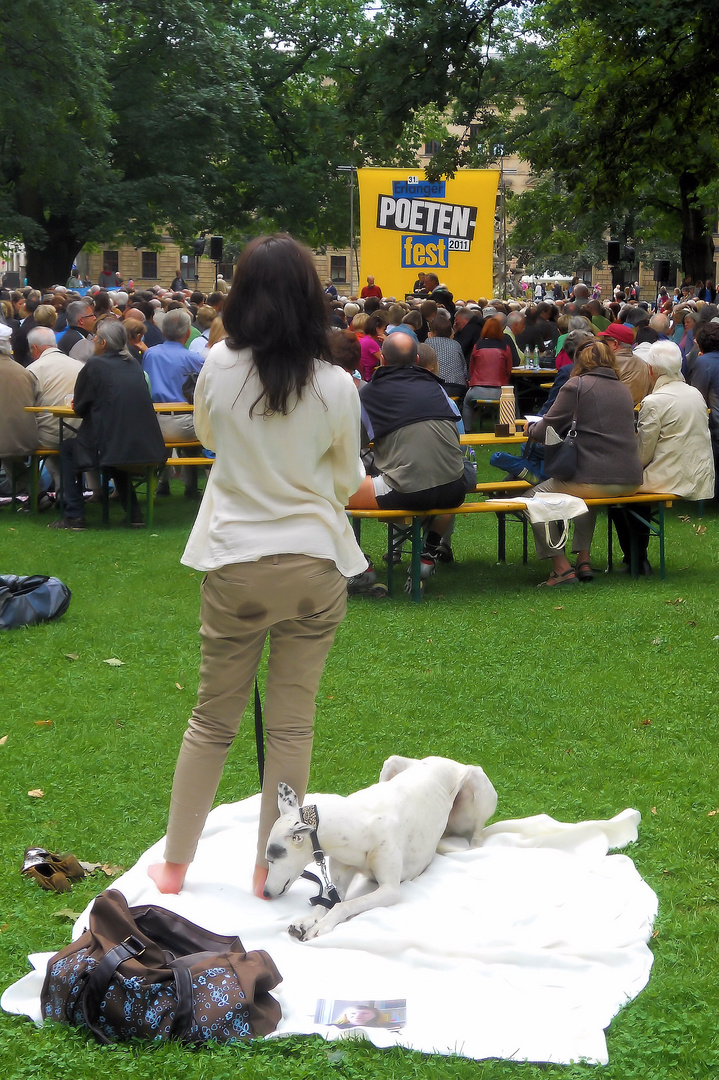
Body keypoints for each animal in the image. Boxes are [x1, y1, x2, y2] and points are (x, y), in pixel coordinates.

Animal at [260, 756, 496, 941]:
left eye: (271, 858)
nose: (265, 893)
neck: (356, 824)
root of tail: (451, 761)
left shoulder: (390, 890)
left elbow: (343, 905)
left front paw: (321, 926)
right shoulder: (339, 882)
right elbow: (325, 902)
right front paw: (306, 921)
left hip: (477, 783)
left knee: (477, 835)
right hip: (391, 763)